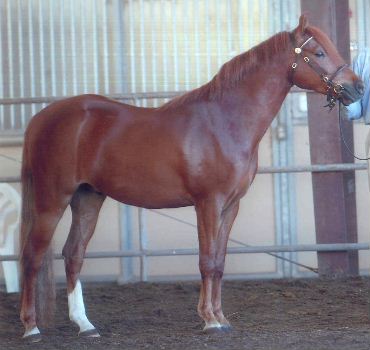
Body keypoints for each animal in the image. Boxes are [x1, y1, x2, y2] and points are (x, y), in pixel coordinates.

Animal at [18, 15, 362, 340]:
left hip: (87, 198)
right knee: (32, 256)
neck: (225, 122)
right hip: (52, 201)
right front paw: (210, 321)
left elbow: (220, 263)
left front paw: (221, 318)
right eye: (319, 52)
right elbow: (206, 261)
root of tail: (40, 118)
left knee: (73, 254)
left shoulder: (230, 206)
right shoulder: (208, 204)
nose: (357, 87)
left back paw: (85, 325)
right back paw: (31, 328)